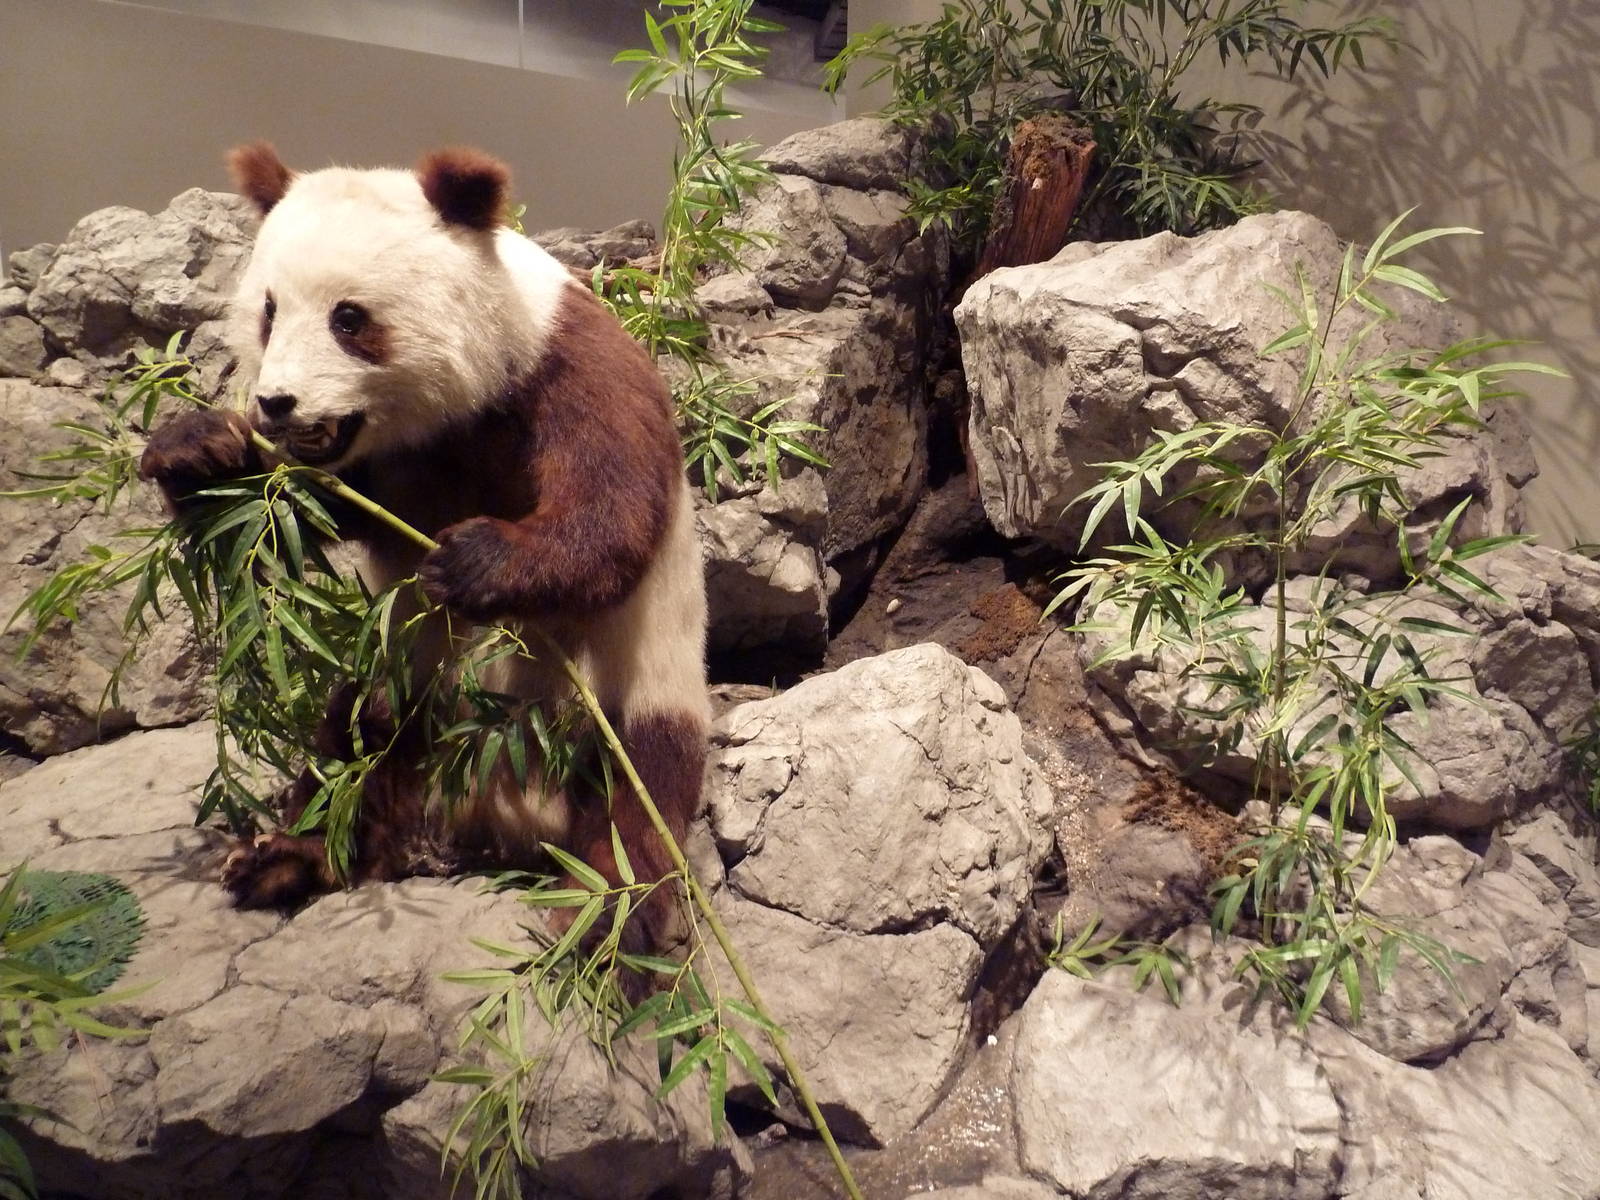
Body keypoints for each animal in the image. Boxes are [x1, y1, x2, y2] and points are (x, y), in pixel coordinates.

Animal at [139, 143, 709, 940]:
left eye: (349, 319)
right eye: (268, 312)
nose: (278, 403)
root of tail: (500, 807)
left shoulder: (566, 369)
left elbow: (610, 513)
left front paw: (470, 562)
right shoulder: (390, 464)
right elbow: (296, 517)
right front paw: (197, 449)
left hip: (639, 691)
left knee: (635, 798)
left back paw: (612, 919)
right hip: (403, 679)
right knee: (359, 740)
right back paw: (286, 859)